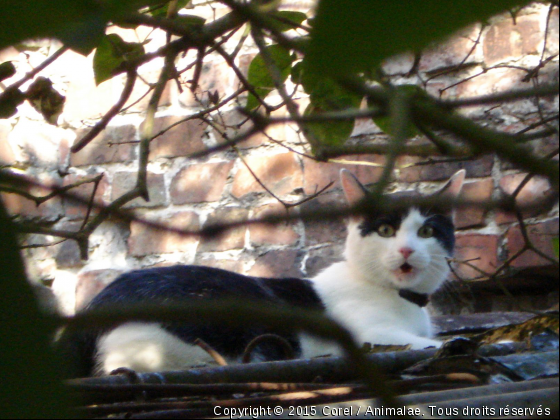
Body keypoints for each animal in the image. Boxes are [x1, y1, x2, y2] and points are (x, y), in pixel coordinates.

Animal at [68, 169, 466, 376]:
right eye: (385, 230)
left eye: (427, 231)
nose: (406, 250)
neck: (402, 300)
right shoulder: (372, 336)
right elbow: (431, 343)